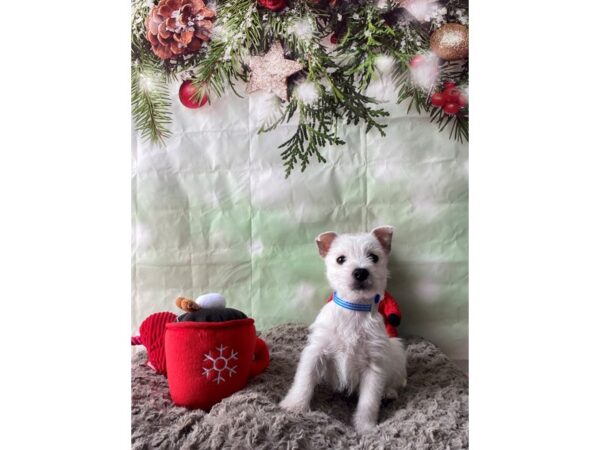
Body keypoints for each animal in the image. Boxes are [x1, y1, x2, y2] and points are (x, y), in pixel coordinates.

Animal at [282, 227, 408, 434]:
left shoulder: (374, 365)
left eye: (373, 257)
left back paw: (389, 392)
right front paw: (294, 406)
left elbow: (369, 401)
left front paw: (365, 427)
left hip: (396, 352)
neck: (354, 310)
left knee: (396, 381)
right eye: (340, 259)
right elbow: (304, 379)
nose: (360, 272)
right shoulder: (316, 351)